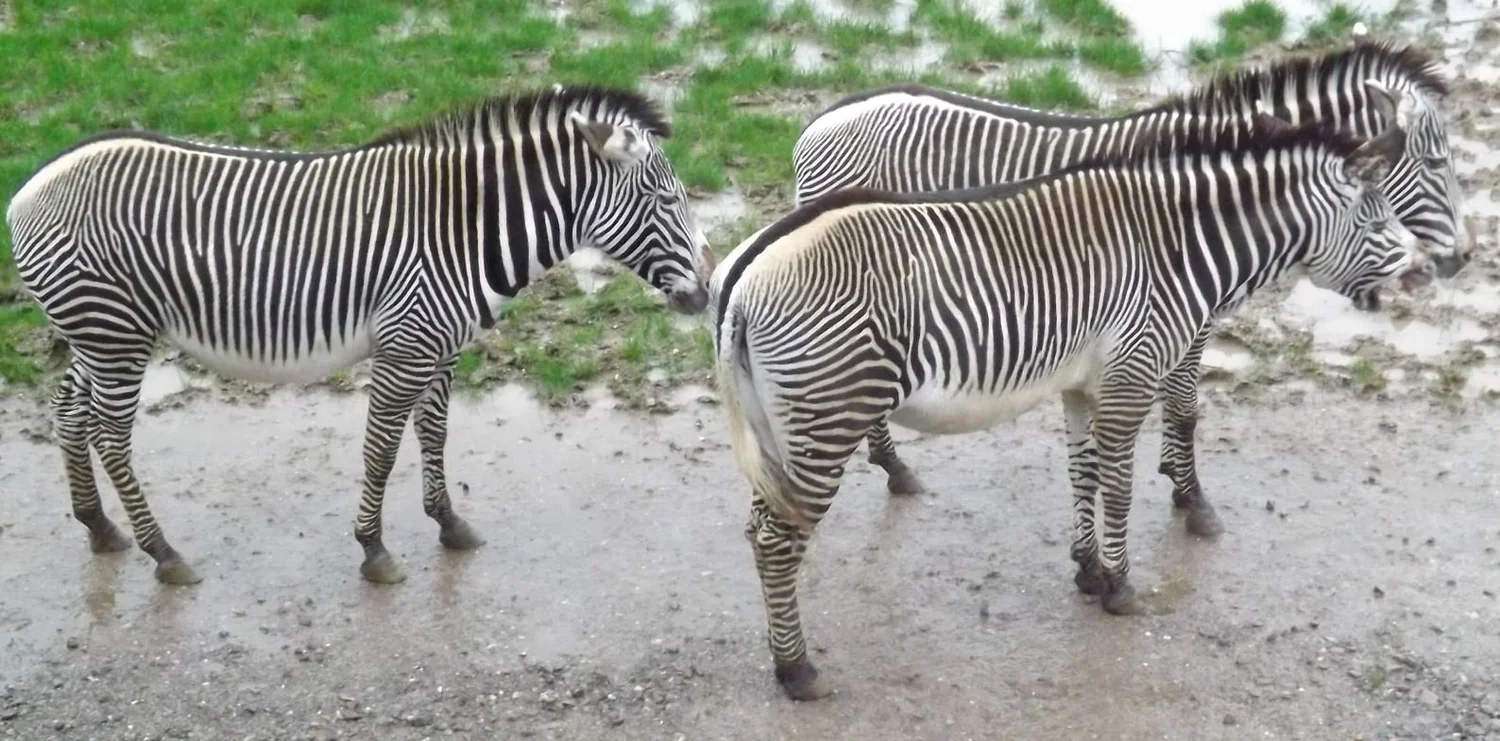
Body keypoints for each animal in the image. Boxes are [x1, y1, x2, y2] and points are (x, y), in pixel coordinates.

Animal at [6, 85, 712, 586]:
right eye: (665, 200)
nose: (706, 292)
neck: (466, 229)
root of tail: (29, 189)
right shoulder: (407, 347)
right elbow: (381, 449)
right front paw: (374, 549)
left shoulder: (441, 348)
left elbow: (434, 434)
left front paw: (448, 523)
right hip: (115, 334)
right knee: (109, 435)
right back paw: (164, 553)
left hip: (97, 334)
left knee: (68, 412)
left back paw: (99, 526)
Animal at [711, 110, 1429, 701]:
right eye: (1374, 219)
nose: (1424, 275)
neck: (1178, 247)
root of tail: (744, 277)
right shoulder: (1133, 375)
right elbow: (1120, 484)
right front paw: (1120, 585)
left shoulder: (1084, 384)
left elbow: (1083, 473)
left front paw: (1088, 570)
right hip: (826, 417)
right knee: (778, 540)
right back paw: (796, 670)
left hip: (785, 428)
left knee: (758, 530)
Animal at [791, 35, 1466, 538]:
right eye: (1435, 163)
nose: (1458, 261)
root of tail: (821, 118)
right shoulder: (1186, 310)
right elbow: (1186, 407)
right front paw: (1193, 501)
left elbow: (1177, 407)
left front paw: (1176, 483)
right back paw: (896, 466)